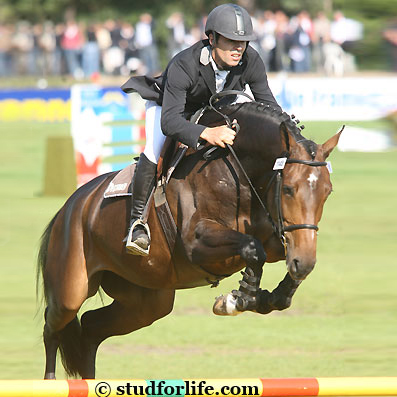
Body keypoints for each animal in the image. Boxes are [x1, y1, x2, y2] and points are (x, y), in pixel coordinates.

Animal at [36, 99, 340, 378]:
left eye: (327, 191)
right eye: (288, 189)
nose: (304, 262)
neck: (236, 171)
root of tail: (69, 207)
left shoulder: (282, 237)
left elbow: (277, 258)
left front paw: (268, 296)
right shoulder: (197, 243)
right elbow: (253, 249)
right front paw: (237, 299)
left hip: (145, 300)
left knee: (90, 328)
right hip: (71, 290)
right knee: (53, 327)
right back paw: (50, 380)